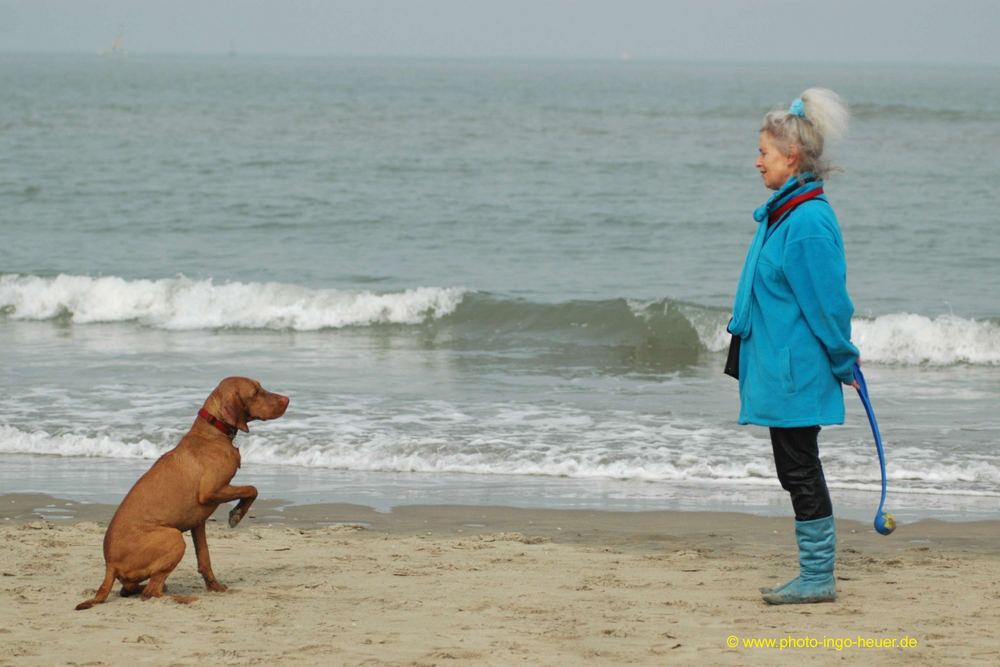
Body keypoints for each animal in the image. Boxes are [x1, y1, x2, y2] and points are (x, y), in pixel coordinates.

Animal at [75, 376, 288, 612]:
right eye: (256, 392)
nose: (287, 399)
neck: (212, 432)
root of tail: (110, 564)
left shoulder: (198, 522)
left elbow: (204, 558)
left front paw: (215, 587)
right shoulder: (211, 491)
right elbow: (252, 489)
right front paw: (237, 514)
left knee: (131, 590)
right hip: (174, 538)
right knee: (151, 593)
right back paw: (184, 598)